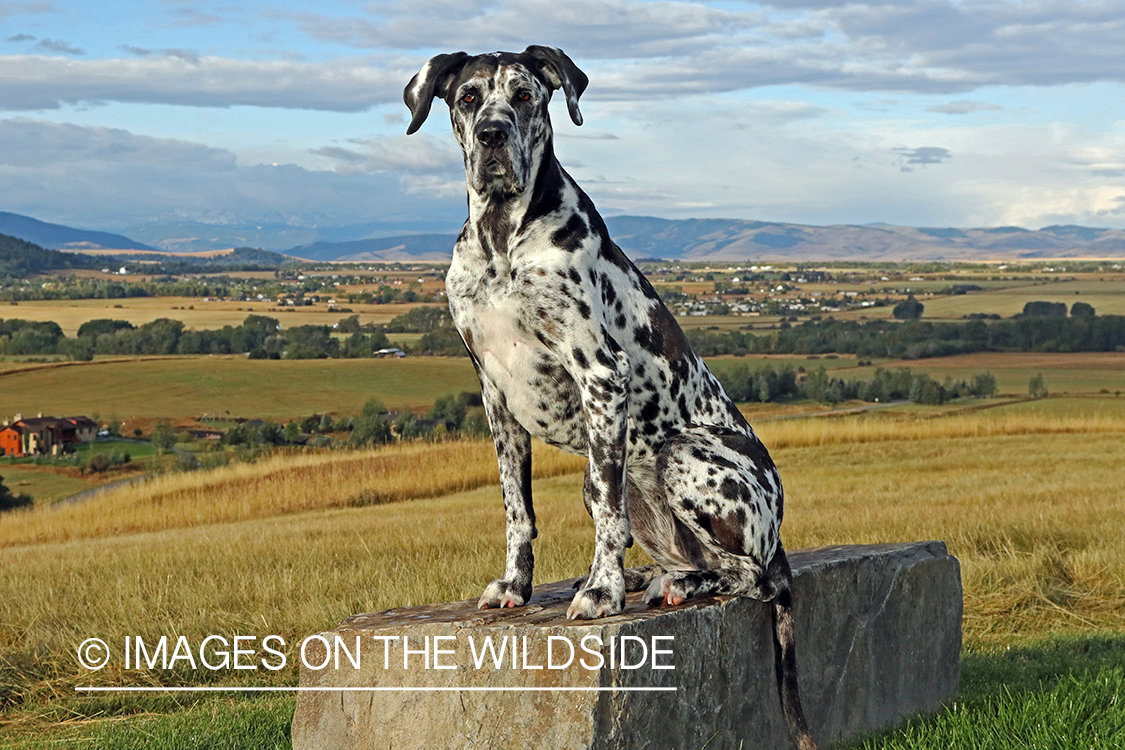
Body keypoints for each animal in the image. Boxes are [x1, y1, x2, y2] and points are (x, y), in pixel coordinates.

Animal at [405, 46, 819, 750]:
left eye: (524, 95)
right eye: (467, 98)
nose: (492, 135)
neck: (502, 241)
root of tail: (781, 539)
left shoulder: (601, 374)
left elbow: (607, 519)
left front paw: (602, 594)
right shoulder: (495, 395)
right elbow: (518, 512)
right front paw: (517, 586)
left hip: (685, 457)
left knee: (748, 577)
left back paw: (675, 584)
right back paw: (653, 575)